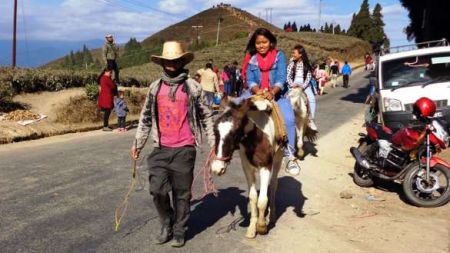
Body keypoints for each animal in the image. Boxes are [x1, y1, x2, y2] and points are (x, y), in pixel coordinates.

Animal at [211, 98, 284, 238]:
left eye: (234, 132)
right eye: (215, 130)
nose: (217, 168)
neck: (257, 138)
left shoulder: (265, 167)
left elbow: (262, 200)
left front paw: (261, 226)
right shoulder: (247, 168)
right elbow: (253, 197)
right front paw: (252, 227)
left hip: (278, 158)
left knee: (273, 184)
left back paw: (272, 215)